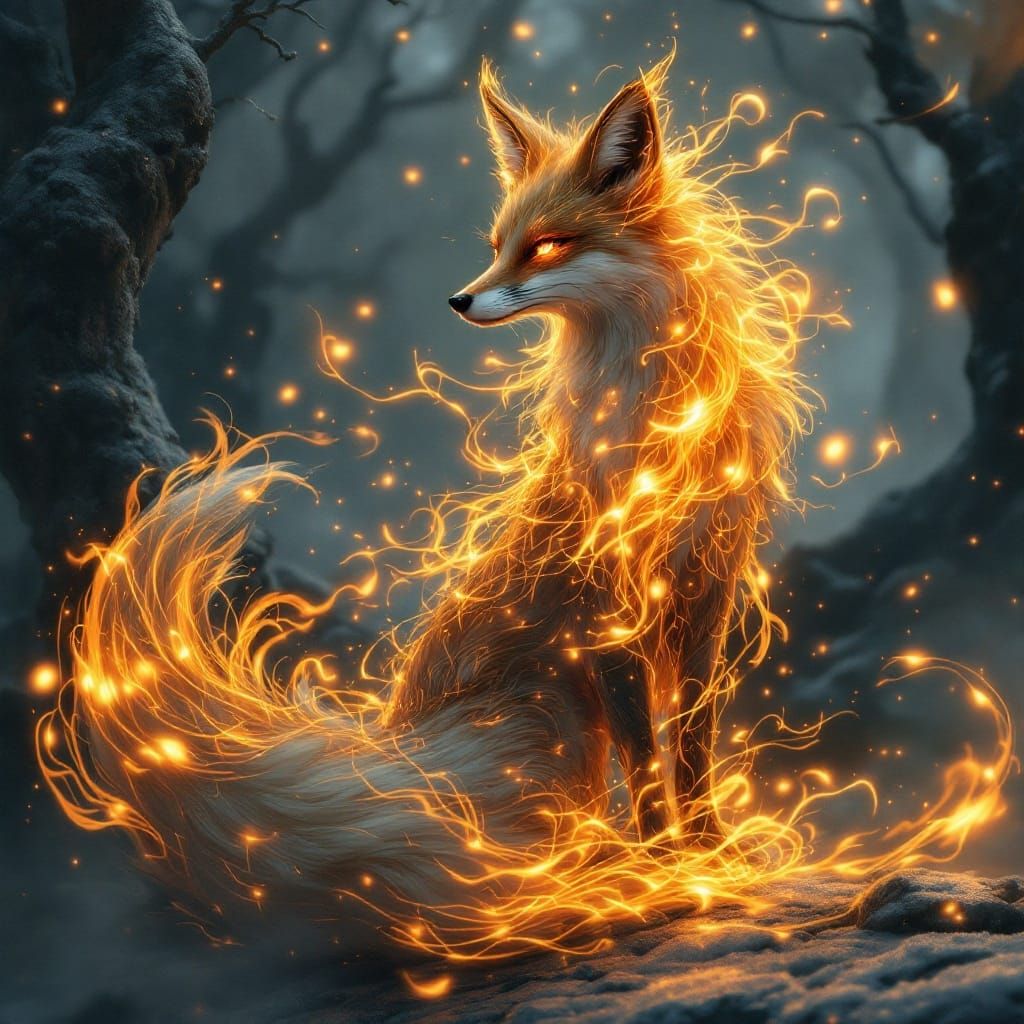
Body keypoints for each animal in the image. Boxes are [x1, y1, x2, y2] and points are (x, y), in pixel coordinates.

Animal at [42, 57, 809, 953]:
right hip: (551, 714)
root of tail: (391, 759)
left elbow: (690, 751)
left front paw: (712, 854)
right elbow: (652, 771)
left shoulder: (705, 589)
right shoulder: (607, 617)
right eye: (496, 247)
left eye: (548, 245)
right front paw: (669, 868)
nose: (458, 301)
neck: (662, 424)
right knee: (475, 872)